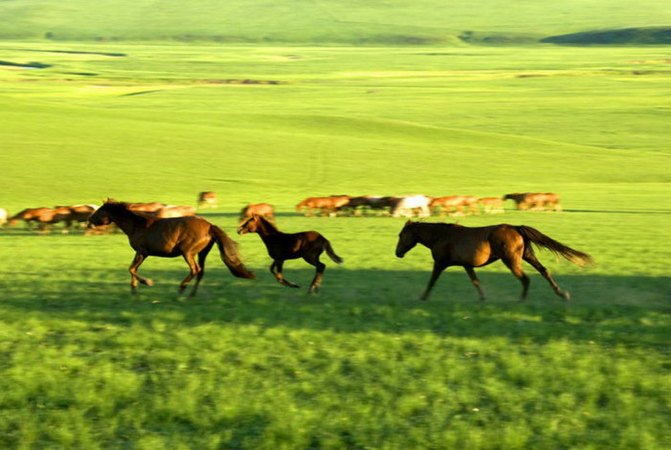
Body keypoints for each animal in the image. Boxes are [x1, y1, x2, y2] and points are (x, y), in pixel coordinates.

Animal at [87, 200, 255, 296]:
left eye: (99, 210)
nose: (89, 220)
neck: (137, 225)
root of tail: (209, 226)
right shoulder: (141, 253)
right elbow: (132, 269)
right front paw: (134, 289)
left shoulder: (142, 252)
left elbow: (132, 269)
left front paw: (146, 282)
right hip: (202, 253)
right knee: (201, 272)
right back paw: (191, 294)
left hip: (188, 253)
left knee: (195, 270)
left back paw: (182, 288)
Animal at [396, 221, 592, 302]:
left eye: (401, 235)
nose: (397, 253)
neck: (440, 236)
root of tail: (517, 228)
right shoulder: (467, 265)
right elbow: (475, 281)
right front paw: (483, 298)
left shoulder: (440, 263)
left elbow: (432, 281)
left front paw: (423, 297)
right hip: (527, 255)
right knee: (544, 271)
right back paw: (562, 294)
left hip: (511, 260)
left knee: (525, 278)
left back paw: (521, 299)